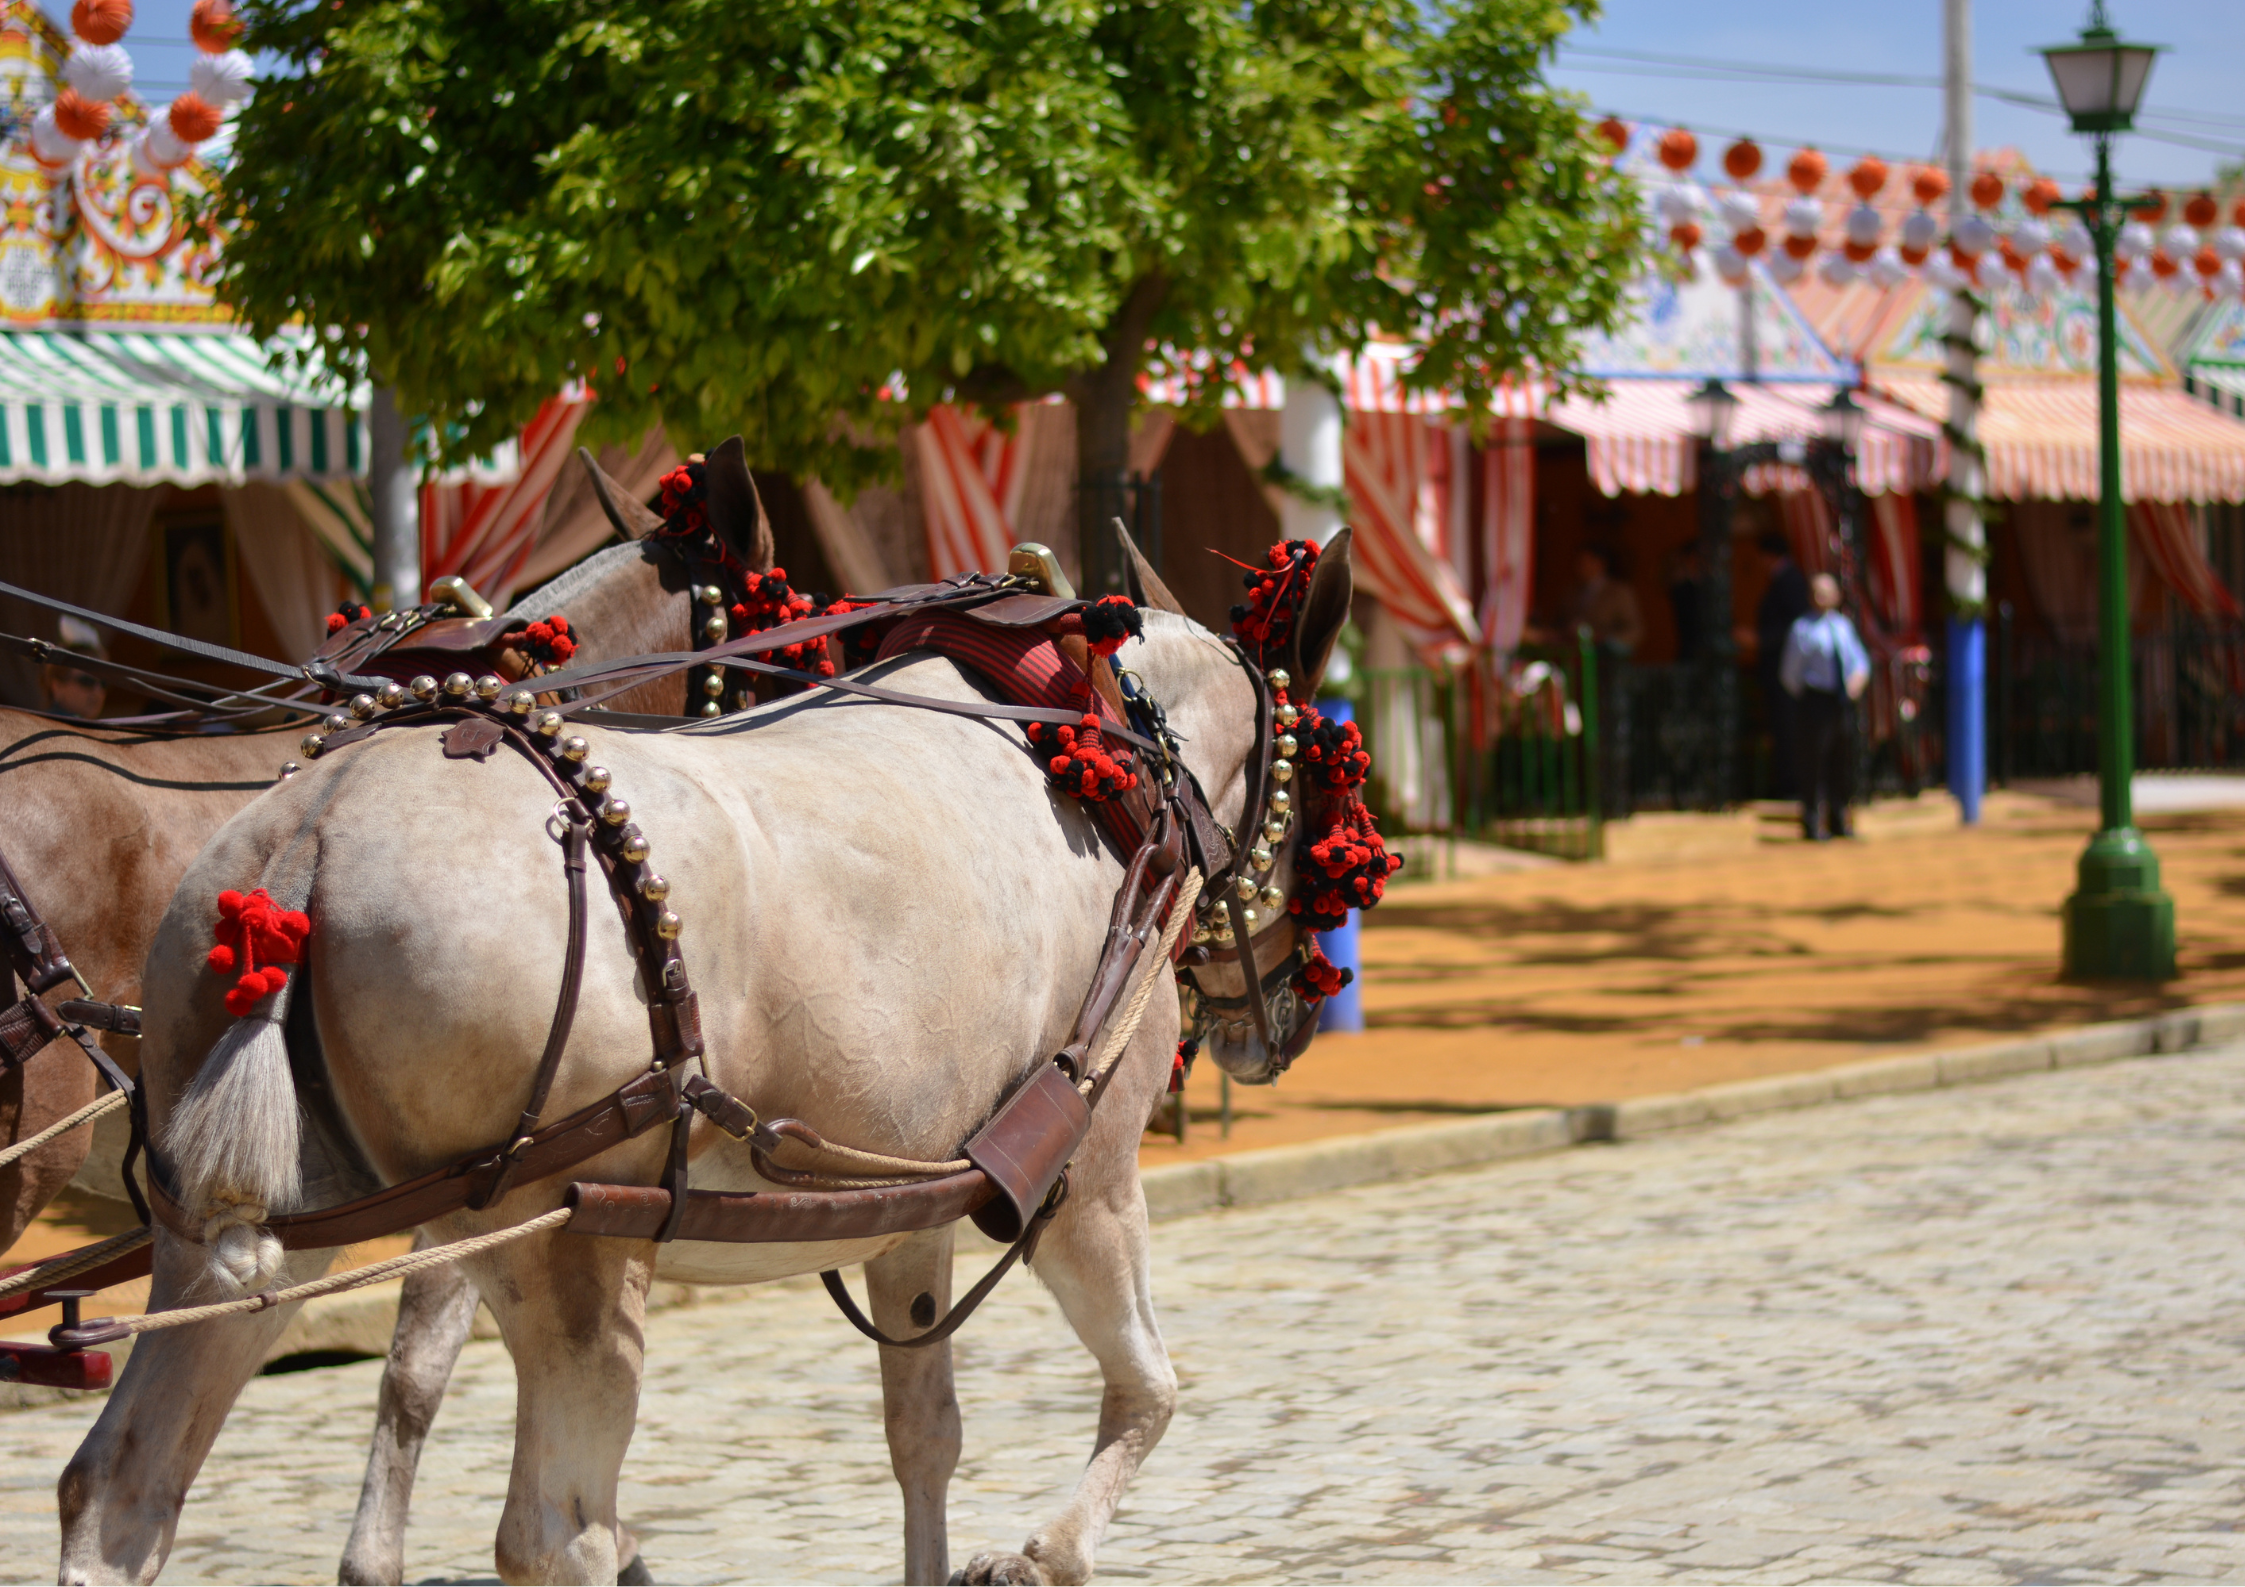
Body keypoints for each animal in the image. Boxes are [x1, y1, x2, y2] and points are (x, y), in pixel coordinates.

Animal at [56, 540, 1346, 1580]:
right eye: (1330, 783)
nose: (1284, 1019)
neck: (1098, 746)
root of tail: (307, 838)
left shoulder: (913, 1210)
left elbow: (924, 1438)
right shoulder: (1086, 1180)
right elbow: (1149, 1389)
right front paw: (1043, 1554)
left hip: (243, 1239)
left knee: (120, 1491)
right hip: (563, 1246)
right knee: (554, 1533)